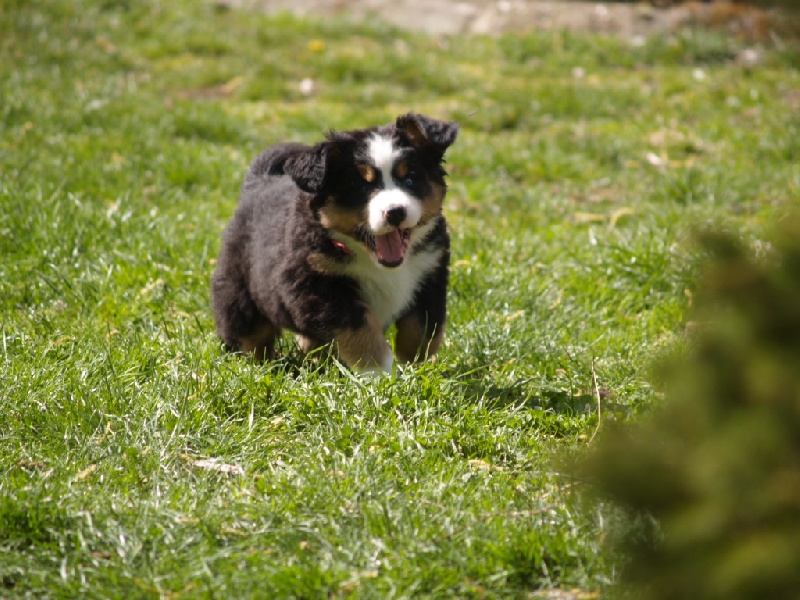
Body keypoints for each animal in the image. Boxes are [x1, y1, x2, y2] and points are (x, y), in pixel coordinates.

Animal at [211, 113, 459, 374]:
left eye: (410, 180)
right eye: (360, 186)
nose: (395, 212)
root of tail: (260, 180)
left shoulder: (430, 272)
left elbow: (422, 326)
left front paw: (416, 365)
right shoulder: (316, 286)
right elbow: (360, 328)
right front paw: (378, 371)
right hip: (238, 292)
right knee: (248, 335)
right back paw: (256, 366)